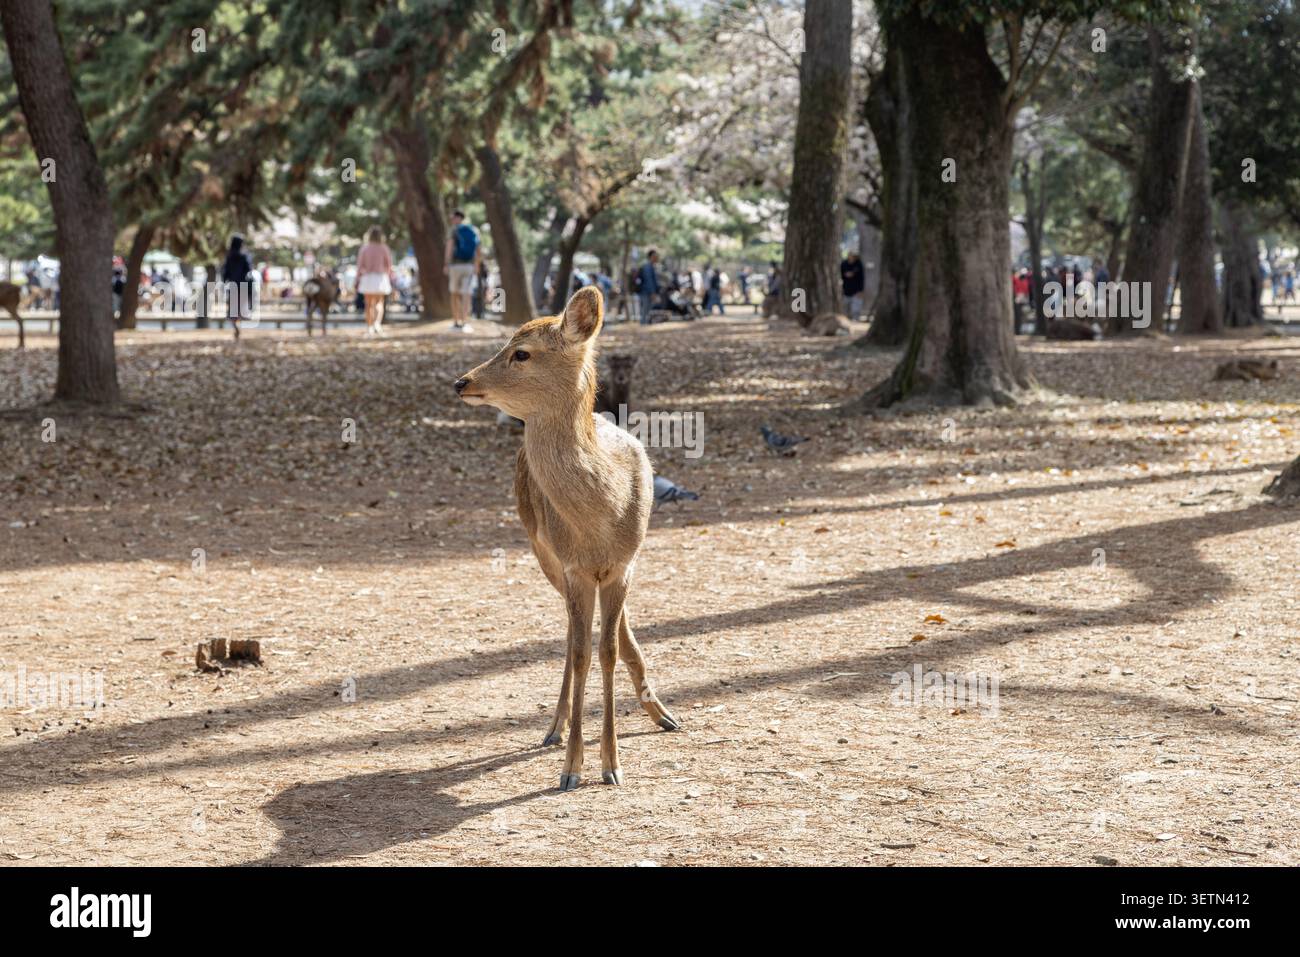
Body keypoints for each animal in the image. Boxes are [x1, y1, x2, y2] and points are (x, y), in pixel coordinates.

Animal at [454, 286, 679, 791]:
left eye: (521, 352)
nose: (461, 381)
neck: (601, 516)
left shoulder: (623, 565)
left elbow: (606, 650)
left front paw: (612, 765)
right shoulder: (573, 566)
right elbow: (580, 653)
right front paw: (573, 767)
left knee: (605, 632)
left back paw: (662, 712)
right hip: (543, 554)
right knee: (571, 632)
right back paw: (554, 727)